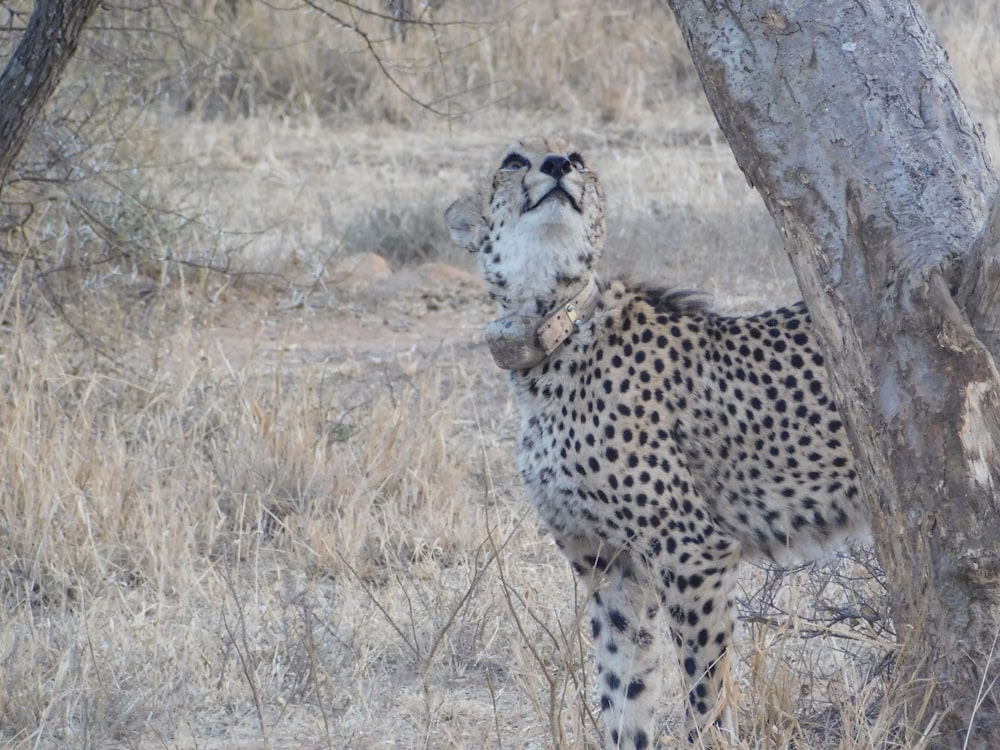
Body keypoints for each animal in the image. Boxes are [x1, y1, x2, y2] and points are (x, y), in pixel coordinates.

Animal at [446, 138, 868, 748]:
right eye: (513, 161)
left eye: (577, 157)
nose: (557, 166)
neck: (554, 332)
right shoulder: (611, 569)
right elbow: (625, 693)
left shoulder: (693, 551)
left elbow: (705, 690)